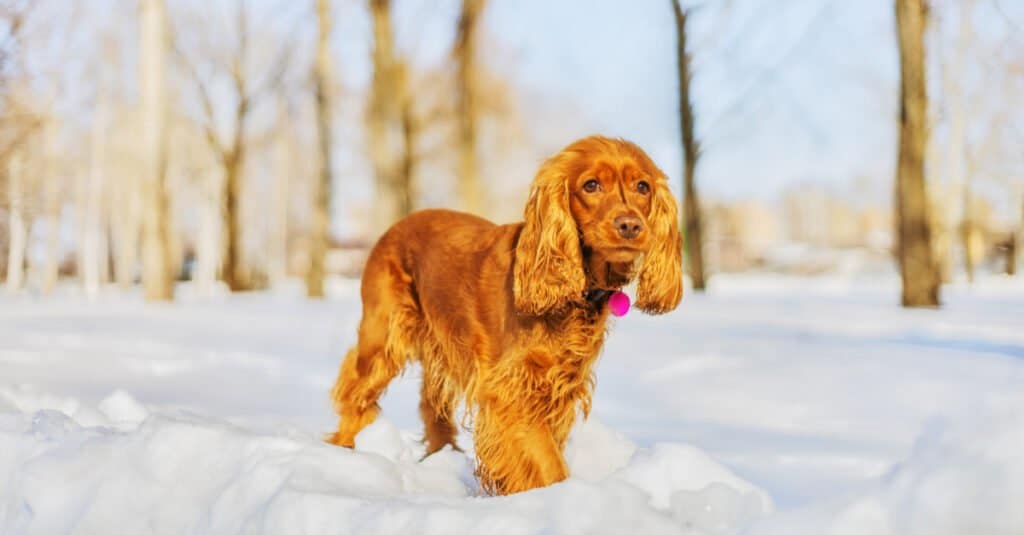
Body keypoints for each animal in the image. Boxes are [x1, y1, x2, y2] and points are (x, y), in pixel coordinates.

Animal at [327, 135, 679, 494]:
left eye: (642, 186)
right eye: (591, 185)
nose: (630, 225)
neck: (575, 294)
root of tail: (396, 226)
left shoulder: (559, 387)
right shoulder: (512, 390)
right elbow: (546, 462)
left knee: (430, 404)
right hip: (383, 336)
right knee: (354, 390)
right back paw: (344, 450)